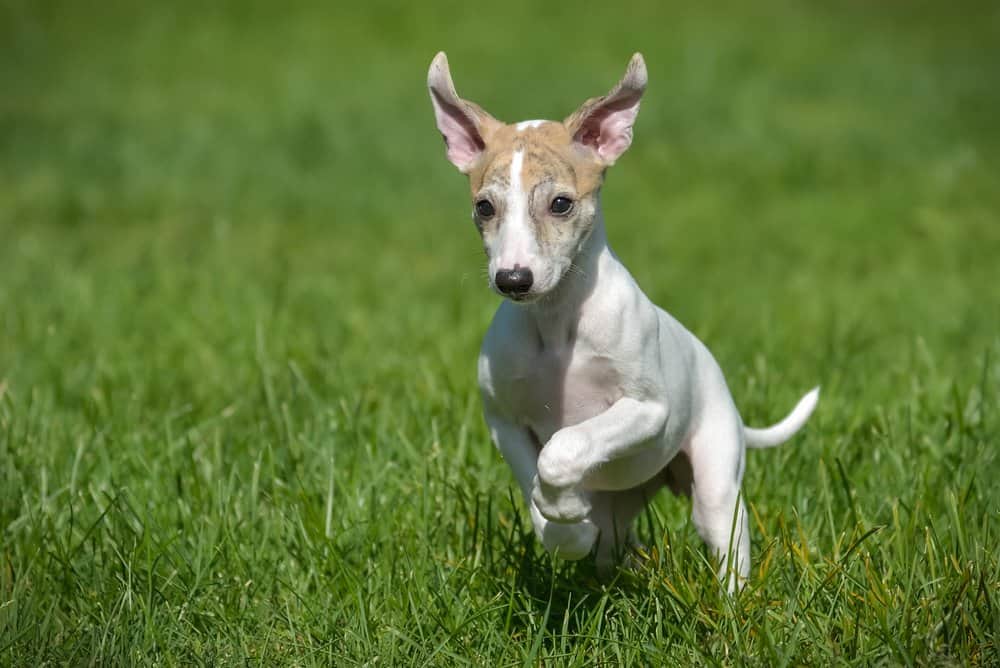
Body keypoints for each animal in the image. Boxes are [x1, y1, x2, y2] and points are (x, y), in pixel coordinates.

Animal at [426, 49, 816, 588]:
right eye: (484, 207)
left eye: (561, 203)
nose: (513, 279)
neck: (557, 323)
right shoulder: (503, 421)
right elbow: (536, 485)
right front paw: (566, 527)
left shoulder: (648, 409)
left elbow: (562, 449)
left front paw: (566, 512)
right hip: (623, 501)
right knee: (613, 540)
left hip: (715, 481)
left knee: (725, 539)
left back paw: (732, 604)